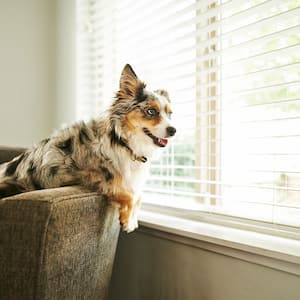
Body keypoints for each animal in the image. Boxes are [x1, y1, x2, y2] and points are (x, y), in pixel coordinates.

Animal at [0, 63, 176, 232]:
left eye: (170, 114)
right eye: (151, 111)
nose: (173, 130)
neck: (122, 141)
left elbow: (138, 196)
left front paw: (132, 218)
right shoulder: (84, 174)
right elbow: (127, 193)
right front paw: (128, 222)